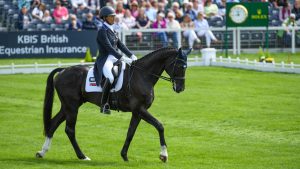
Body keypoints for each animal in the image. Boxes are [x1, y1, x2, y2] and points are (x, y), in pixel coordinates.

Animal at [36, 46, 191, 162]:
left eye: (186, 66)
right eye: (179, 65)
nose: (180, 88)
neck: (142, 75)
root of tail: (63, 70)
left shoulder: (137, 112)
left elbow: (130, 132)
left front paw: (124, 156)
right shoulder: (140, 109)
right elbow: (160, 126)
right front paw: (164, 155)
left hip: (68, 106)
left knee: (53, 124)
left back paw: (42, 152)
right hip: (72, 106)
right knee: (69, 130)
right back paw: (82, 156)